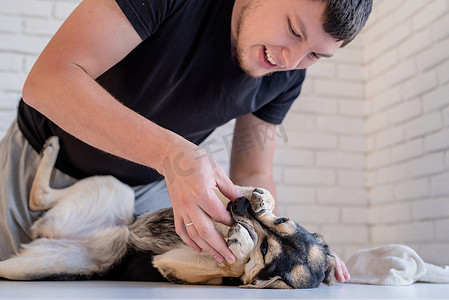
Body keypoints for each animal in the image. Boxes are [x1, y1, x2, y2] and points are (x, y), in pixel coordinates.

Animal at [0, 137, 334, 288]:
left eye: (265, 251)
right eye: (282, 221)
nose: (239, 205)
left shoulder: (171, 264)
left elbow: (233, 267)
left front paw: (238, 250)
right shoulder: (213, 194)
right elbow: (230, 186)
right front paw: (260, 197)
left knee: (37, 199)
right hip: (116, 188)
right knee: (40, 196)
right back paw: (51, 149)